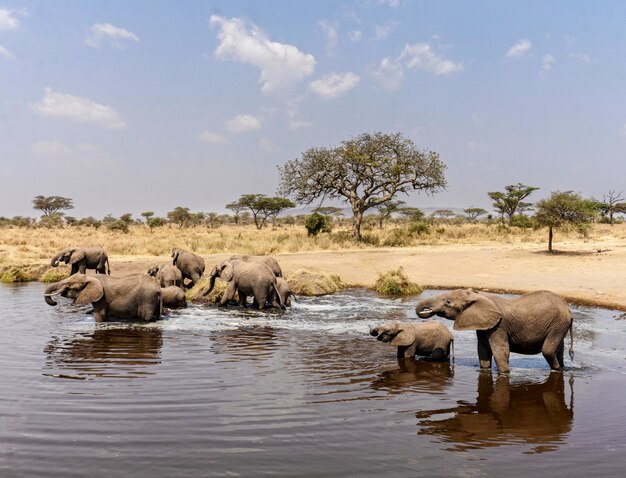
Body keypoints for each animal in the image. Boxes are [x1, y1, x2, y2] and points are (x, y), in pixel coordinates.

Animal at [412, 288, 572, 374]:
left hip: (558, 325)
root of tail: (568, 310)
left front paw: (505, 373)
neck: (478, 295)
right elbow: (483, 351)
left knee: (548, 350)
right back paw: (563, 368)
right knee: (559, 351)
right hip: (559, 326)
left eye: (448, 302)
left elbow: (500, 351)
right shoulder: (484, 325)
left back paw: (558, 370)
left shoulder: (499, 326)